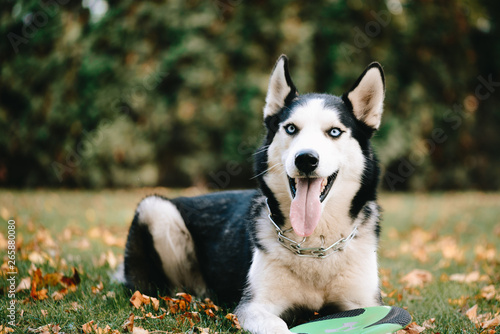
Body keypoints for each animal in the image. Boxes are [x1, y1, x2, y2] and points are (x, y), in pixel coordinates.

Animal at [122, 55, 386, 334]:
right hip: (156, 208)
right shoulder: (253, 306)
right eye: (291, 128)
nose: (305, 159)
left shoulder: (367, 302)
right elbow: (278, 326)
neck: (315, 247)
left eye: (334, 132)